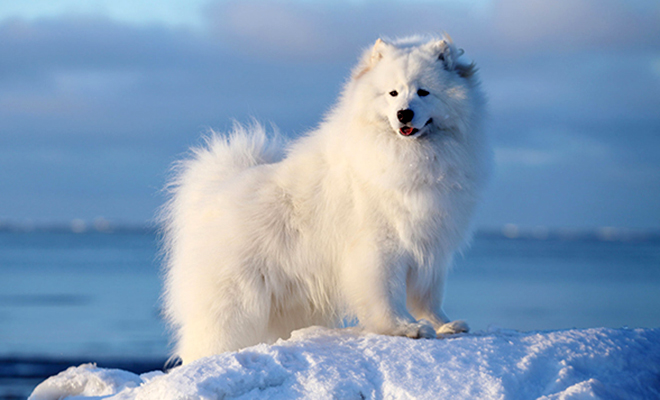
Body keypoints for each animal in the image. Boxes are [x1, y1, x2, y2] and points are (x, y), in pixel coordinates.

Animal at [162, 36, 488, 364]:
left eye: (423, 91)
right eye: (393, 93)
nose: (403, 114)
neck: (412, 156)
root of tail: (215, 189)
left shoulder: (431, 247)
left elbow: (428, 296)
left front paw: (443, 325)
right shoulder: (381, 247)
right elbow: (387, 294)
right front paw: (404, 328)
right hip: (234, 305)